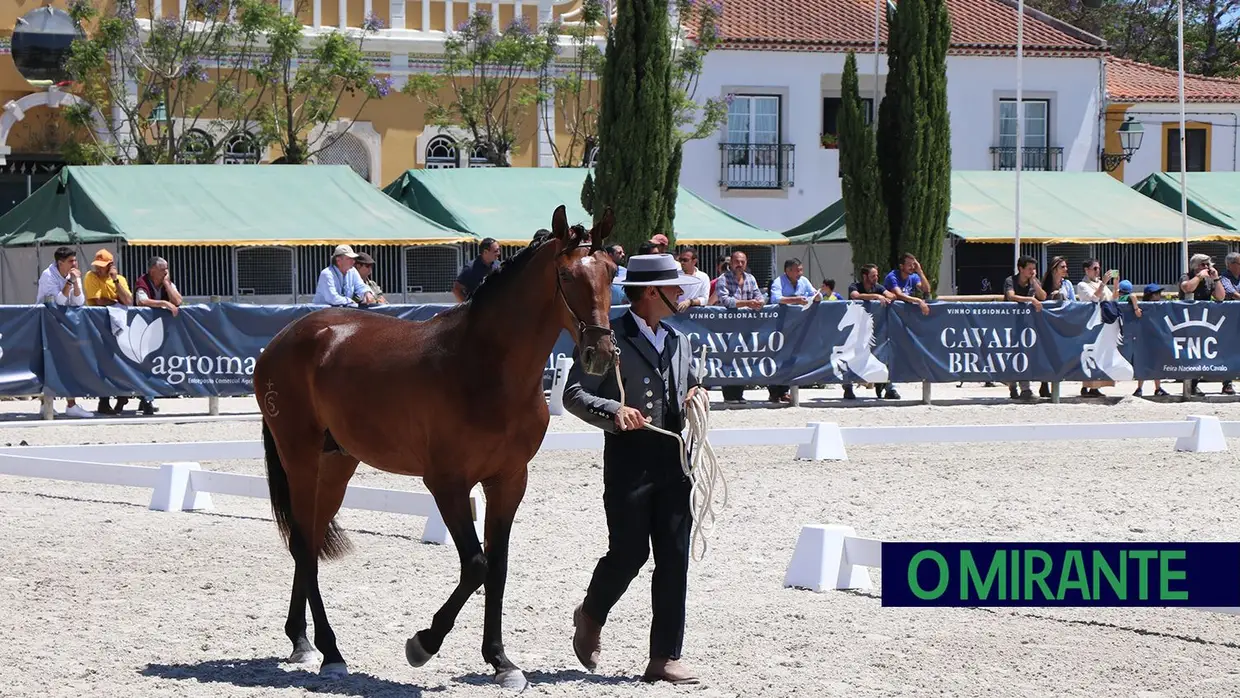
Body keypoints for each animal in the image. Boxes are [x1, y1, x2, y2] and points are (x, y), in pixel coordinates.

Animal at [252, 204, 620, 689]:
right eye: (566, 274)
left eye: (612, 271)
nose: (601, 353)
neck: (485, 367)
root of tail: (286, 337)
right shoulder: (447, 483)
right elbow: (476, 565)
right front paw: (423, 644)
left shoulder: (508, 481)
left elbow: (497, 568)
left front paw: (501, 661)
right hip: (300, 459)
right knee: (303, 545)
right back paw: (331, 652)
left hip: (335, 467)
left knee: (307, 542)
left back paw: (301, 641)